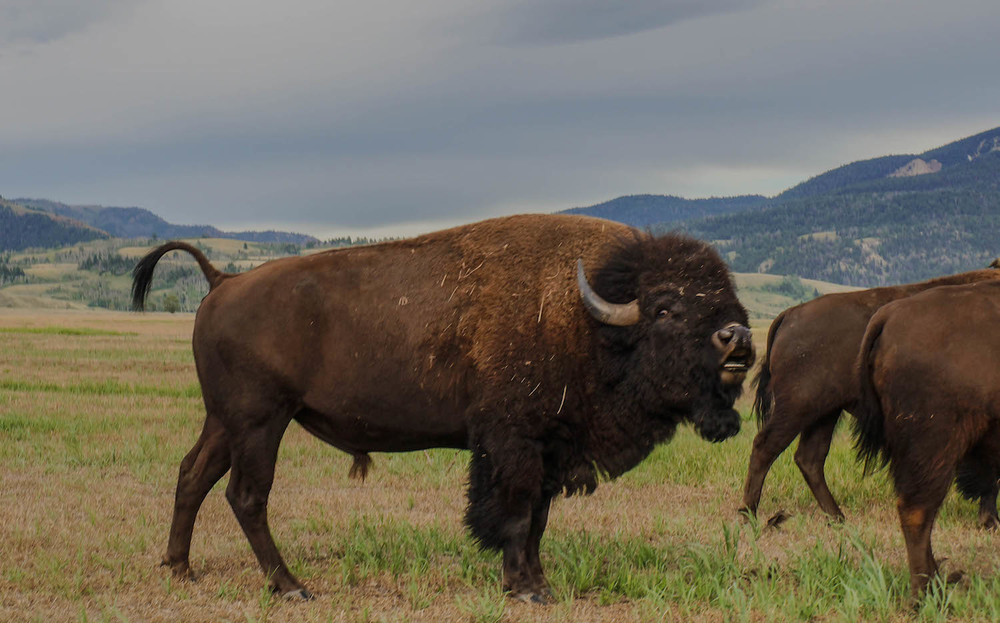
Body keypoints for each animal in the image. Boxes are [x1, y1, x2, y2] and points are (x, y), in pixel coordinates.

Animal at [135, 214, 756, 604]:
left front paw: (536, 582)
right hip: (261, 421)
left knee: (192, 476)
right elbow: (515, 514)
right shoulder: (512, 444)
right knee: (246, 495)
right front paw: (525, 589)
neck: (587, 316)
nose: (738, 339)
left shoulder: (549, 448)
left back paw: (180, 569)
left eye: (728, 296)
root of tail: (223, 280)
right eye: (666, 308)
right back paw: (291, 587)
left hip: (225, 421)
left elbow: (538, 520)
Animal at [744, 268, 1000, 520]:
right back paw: (749, 513)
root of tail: (790, 314)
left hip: (825, 413)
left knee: (809, 458)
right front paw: (990, 520)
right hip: (798, 407)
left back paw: (838, 517)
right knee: (765, 447)